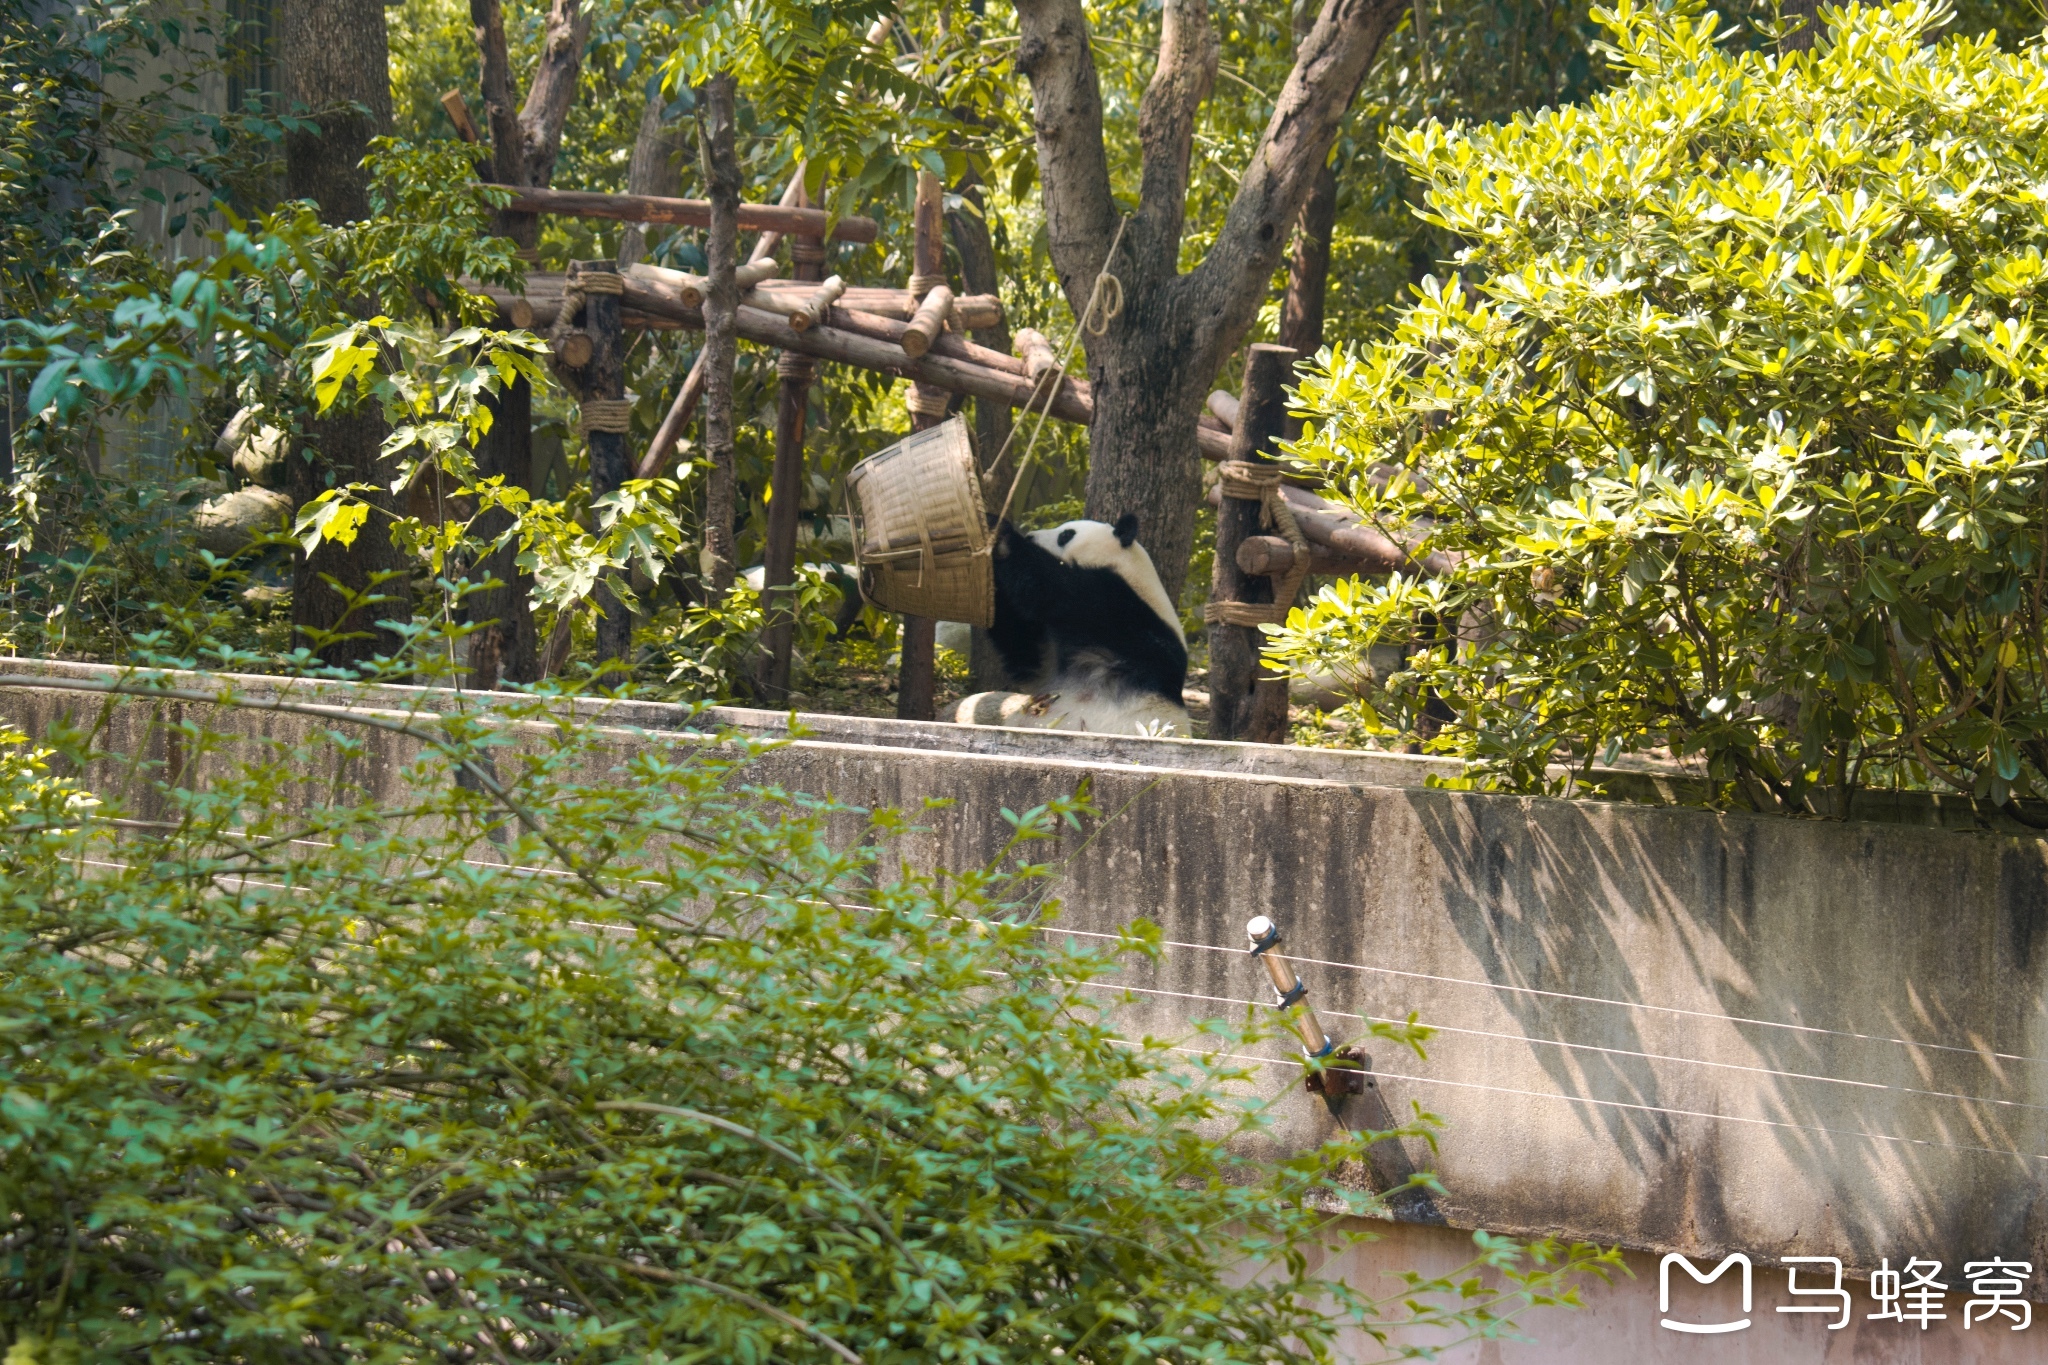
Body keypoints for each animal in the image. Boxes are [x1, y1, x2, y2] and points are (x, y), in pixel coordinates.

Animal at [950, 515, 1196, 736]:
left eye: (1066, 534)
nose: (1030, 536)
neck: (1129, 568)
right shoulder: (1050, 663)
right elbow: (1024, 648)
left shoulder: (1121, 609)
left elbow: (1048, 588)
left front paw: (1000, 533)